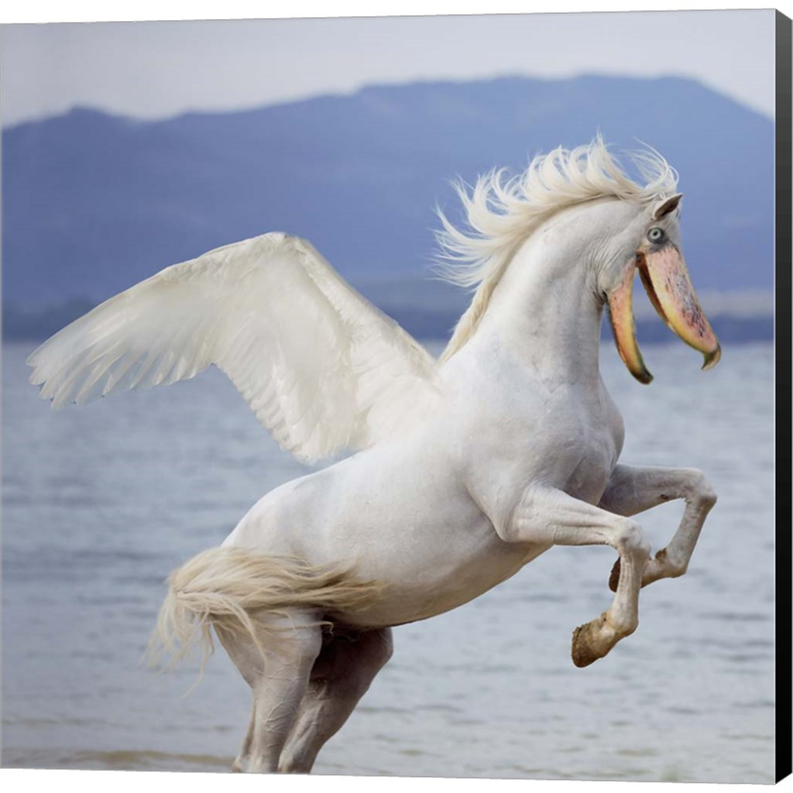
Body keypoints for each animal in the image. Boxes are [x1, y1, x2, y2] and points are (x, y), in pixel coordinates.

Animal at [27, 139, 721, 774]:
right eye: (657, 234)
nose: (709, 351)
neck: (537, 370)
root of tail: (214, 566)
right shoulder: (523, 511)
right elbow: (628, 534)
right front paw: (592, 640)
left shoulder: (598, 486)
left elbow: (697, 488)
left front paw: (646, 572)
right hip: (286, 652)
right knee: (258, 759)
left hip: (355, 660)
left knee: (292, 759)